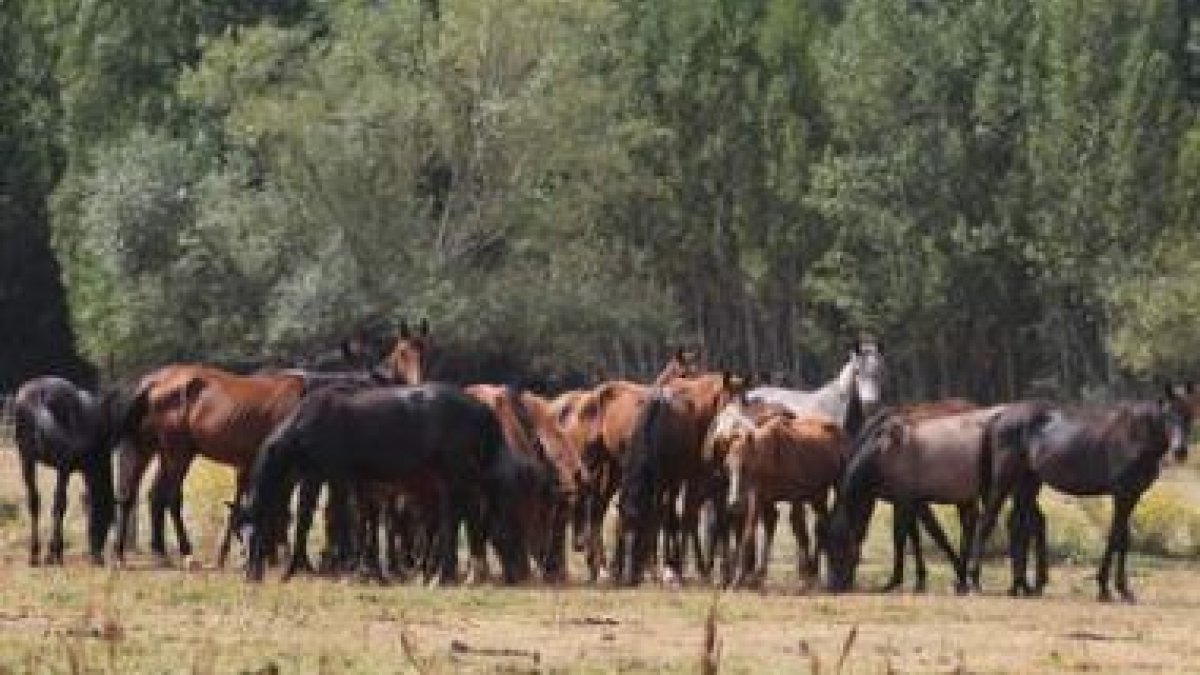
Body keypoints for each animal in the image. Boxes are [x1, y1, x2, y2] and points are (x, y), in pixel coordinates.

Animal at [13, 377, 121, 566]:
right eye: (106, 518)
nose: (98, 557)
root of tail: (40, 394)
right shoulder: (66, 467)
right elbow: (61, 504)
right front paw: (56, 552)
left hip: (26, 458)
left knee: (34, 500)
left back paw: (34, 554)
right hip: (61, 466)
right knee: (59, 503)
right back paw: (52, 553)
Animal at [235, 383, 526, 585]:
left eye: (258, 531)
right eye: (241, 536)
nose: (250, 575)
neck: (308, 422)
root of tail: (483, 409)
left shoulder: (330, 476)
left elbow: (331, 518)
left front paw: (305, 569)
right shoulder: (352, 480)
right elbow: (361, 520)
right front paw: (367, 570)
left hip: (456, 476)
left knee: (459, 518)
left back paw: (445, 576)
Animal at [719, 412, 848, 588]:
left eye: (745, 465)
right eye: (727, 466)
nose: (734, 502)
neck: (772, 457)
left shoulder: (796, 498)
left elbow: (800, 531)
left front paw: (806, 577)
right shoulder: (759, 497)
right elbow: (749, 533)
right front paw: (738, 579)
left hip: (829, 489)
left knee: (821, 526)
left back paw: (815, 570)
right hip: (817, 495)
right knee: (822, 525)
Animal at [825, 403, 999, 594]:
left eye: (840, 549)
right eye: (827, 550)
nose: (833, 586)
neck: (883, 452)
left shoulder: (910, 502)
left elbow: (916, 536)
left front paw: (894, 581)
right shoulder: (906, 502)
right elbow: (915, 537)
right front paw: (921, 580)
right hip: (964, 498)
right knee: (970, 526)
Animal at [969, 391, 1193, 602]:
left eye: (1190, 414)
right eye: (1168, 415)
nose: (1180, 451)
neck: (1134, 436)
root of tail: (1000, 416)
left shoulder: (1132, 495)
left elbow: (1123, 538)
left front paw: (1121, 590)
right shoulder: (1122, 494)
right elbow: (1116, 537)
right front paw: (1106, 589)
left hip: (1028, 482)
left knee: (1018, 526)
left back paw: (1021, 586)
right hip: (1004, 481)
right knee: (988, 522)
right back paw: (976, 581)